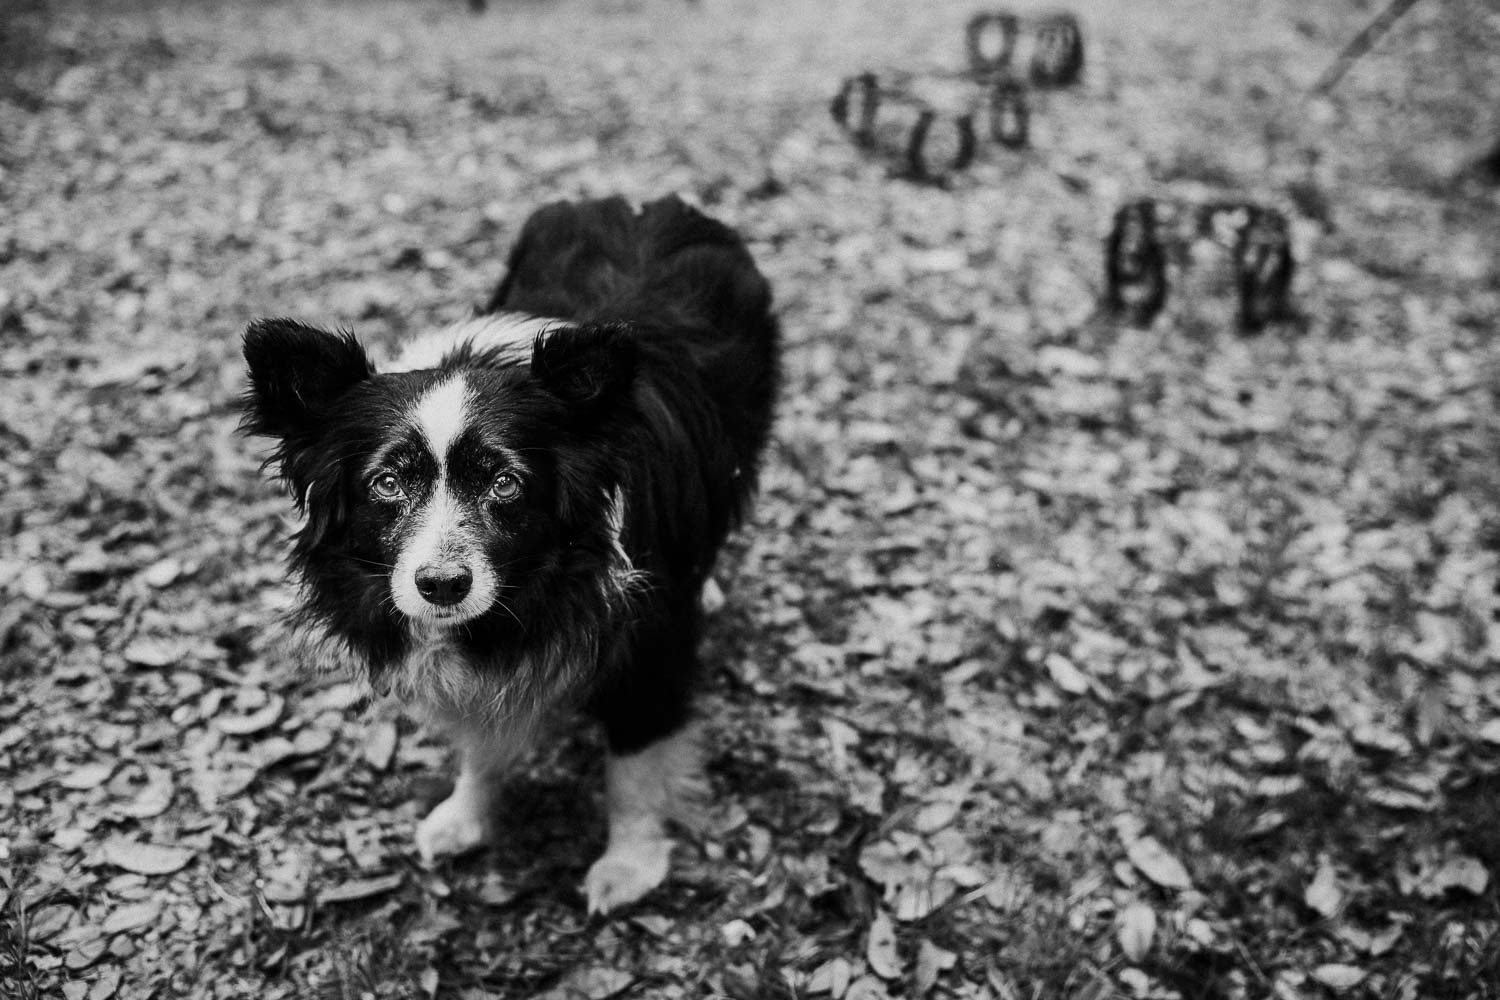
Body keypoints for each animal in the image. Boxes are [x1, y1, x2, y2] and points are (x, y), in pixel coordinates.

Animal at [240, 194, 780, 917]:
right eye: (387, 482)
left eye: (505, 483)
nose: (442, 585)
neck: (537, 587)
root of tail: (652, 201)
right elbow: (481, 738)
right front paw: (465, 815)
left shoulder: (650, 646)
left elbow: (635, 764)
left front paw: (630, 865)